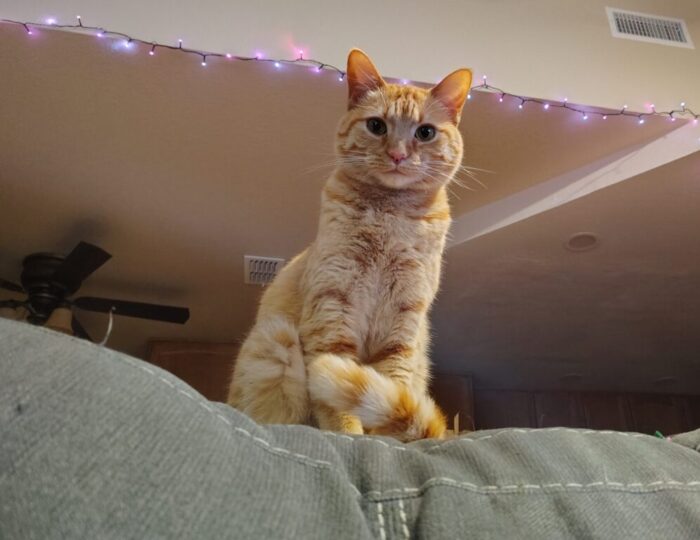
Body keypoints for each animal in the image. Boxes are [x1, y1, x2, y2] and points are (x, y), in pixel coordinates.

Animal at [227, 48, 474, 440]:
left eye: (425, 132)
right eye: (377, 126)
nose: (398, 155)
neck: (390, 215)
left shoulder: (404, 325)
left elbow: (394, 389)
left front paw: (391, 440)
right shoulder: (333, 308)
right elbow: (338, 401)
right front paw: (349, 436)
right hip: (275, 338)